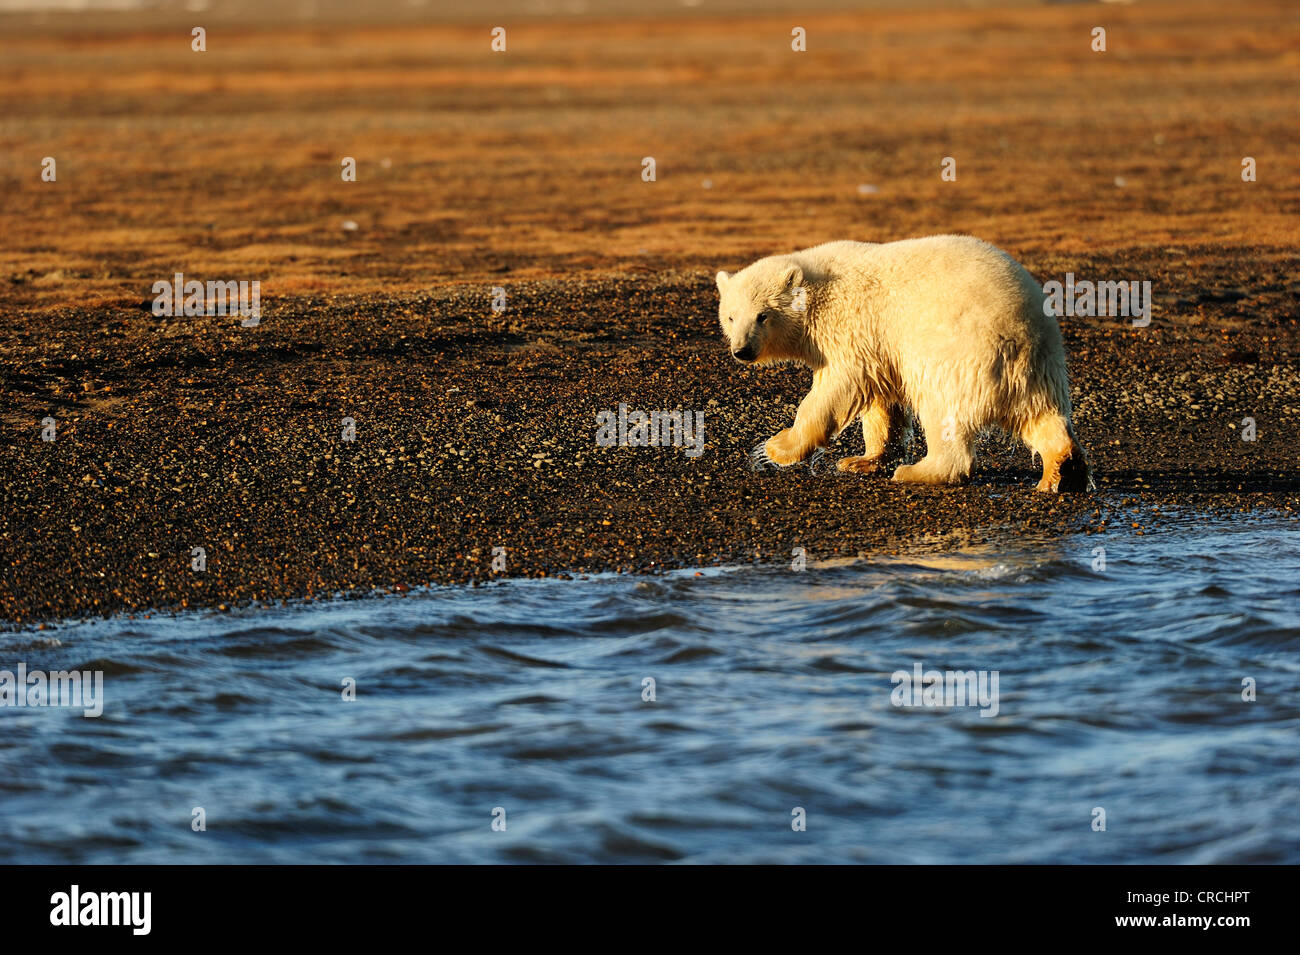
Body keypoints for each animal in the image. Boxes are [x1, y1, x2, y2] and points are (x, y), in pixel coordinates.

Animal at [715, 235, 1089, 492]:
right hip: (1040, 367)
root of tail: (1021, 329)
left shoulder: (851, 326)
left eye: (762, 316)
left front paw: (776, 447)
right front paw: (861, 460)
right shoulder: (879, 346)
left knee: (942, 409)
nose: (741, 350)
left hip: (960, 352)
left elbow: (837, 386)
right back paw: (1061, 472)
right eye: (731, 316)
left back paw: (919, 471)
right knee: (1042, 415)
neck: (817, 291)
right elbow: (882, 401)